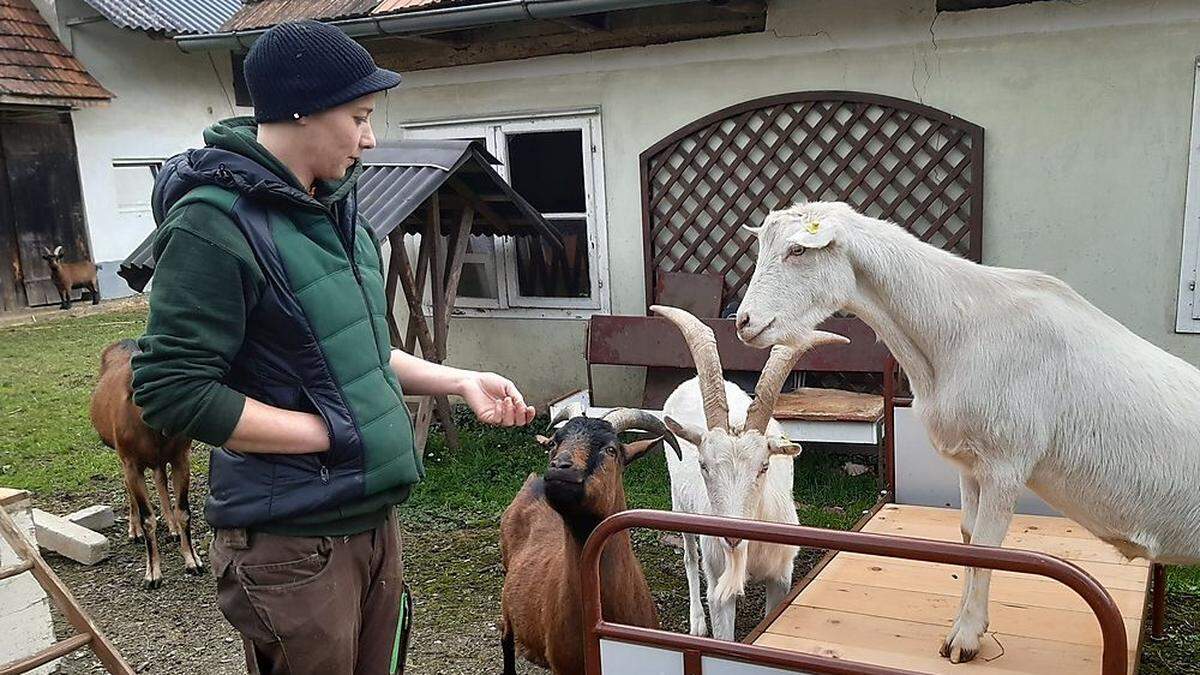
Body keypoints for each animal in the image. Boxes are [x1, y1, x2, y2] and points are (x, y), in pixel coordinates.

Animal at [88, 338, 202, 586]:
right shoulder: (131, 462)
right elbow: (147, 516)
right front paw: (153, 573)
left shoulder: (181, 457)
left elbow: (183, 511)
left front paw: (192, 560)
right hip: (122, 455)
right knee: (130, 486)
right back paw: (135, 531)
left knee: (159, 478)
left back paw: (172, 528)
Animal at [499, 403, 686, 672]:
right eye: (554, 442)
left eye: (610, 449)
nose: (559, 467)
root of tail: (530, 483)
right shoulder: (564, 666)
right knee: (506, 638)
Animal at [652, 302, 849, 638]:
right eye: (703, 465)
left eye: (764, 467)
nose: (731, 538)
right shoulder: (718, 585)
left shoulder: (781, 577)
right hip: (680, 503)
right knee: (690, 557)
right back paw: (697, 621)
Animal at [729, 200, 1200, 662]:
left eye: (798, 251)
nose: (744, 323)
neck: (959, 334)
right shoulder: (970, 462)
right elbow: (969, 540)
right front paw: (967, 624)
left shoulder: (1006, 463)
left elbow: (990, 547)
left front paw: (966, 640)